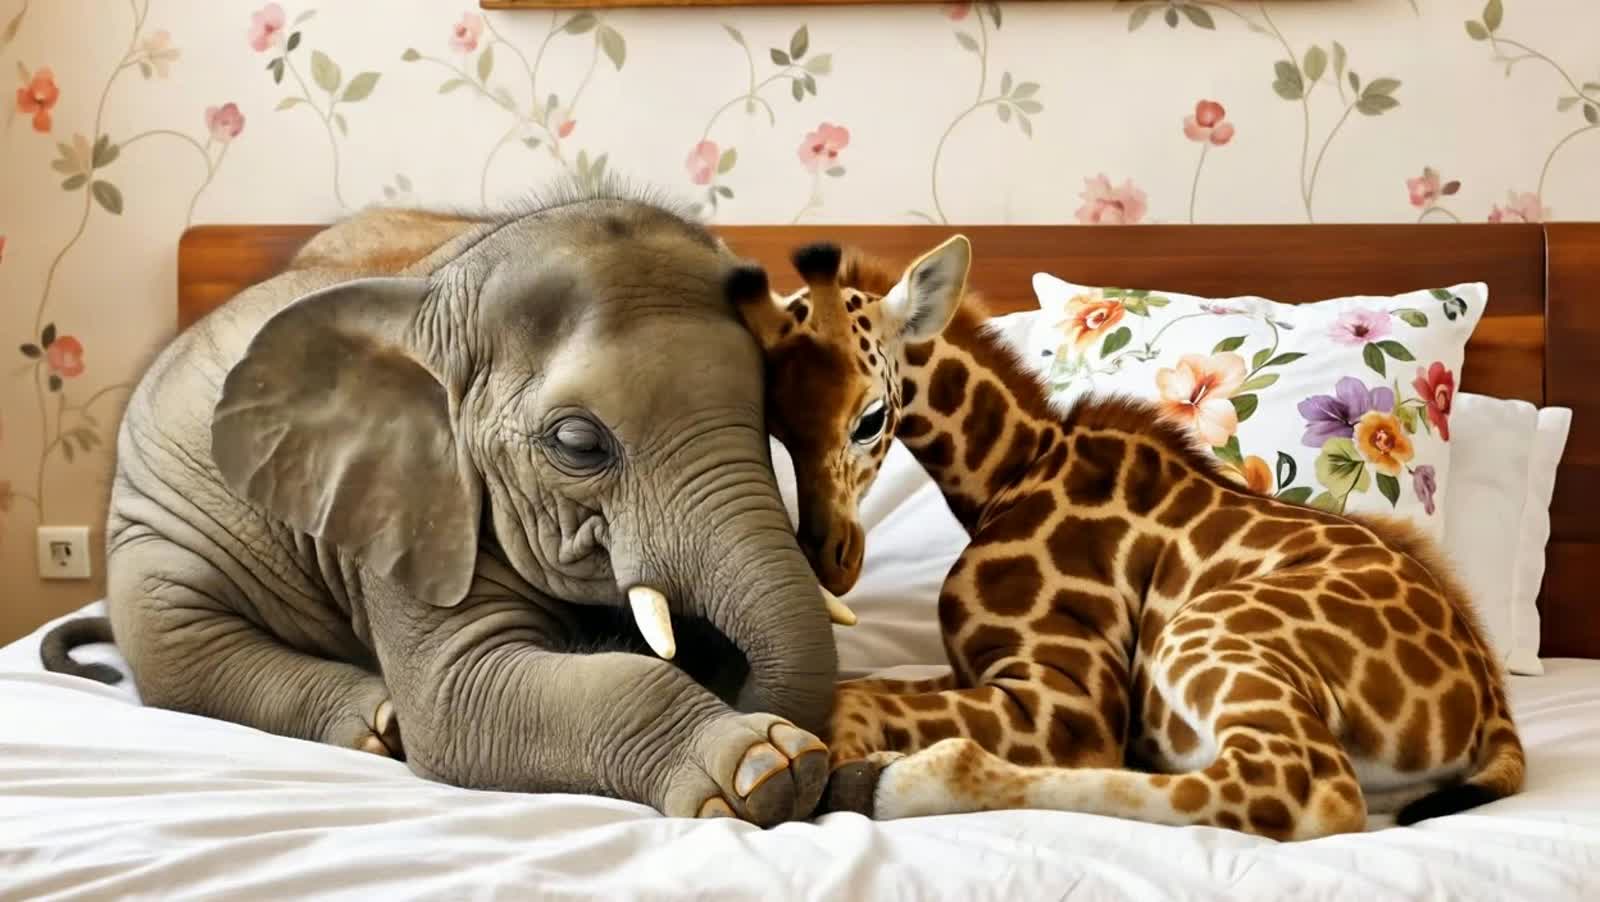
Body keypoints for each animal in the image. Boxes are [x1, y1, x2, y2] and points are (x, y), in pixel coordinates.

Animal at [38, 185, 845, 826]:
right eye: (579, 443)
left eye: (772, 413)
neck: (438, 291)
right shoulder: (407, 516)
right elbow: (459, 696)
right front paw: (768, 766)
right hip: (153, 529)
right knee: (175, 642)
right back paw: (376, 724)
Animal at [733, 234, 1524, 840]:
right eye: (777, 424)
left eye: (872, 419)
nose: (832, 560)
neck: (1014, 469)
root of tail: (1487, 706)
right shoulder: (973, 668)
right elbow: (863, 686)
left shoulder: (1067, 698)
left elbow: (852, 701)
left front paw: (830, 772)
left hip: (1205, 634)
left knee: (1301, 789)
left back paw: (895, 782)